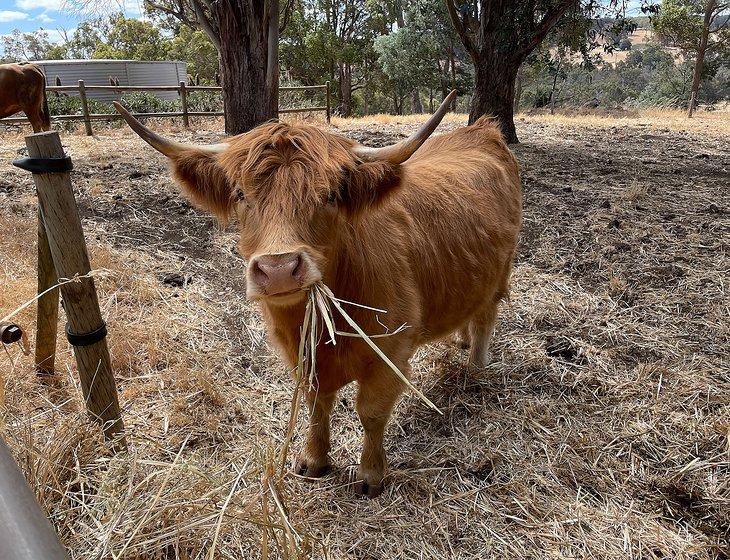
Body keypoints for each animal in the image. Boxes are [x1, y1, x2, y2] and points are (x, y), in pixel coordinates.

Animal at [114, 94, 520, 496]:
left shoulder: (392, 352)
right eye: (241, 194)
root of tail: (481, 131)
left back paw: (475, 370)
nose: (278, 268)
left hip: (500, 272)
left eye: (330, 195)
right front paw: (313, 460)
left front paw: (371, 475)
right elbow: (316, 403)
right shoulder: (300, 354)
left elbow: (371, 411)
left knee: (486, 317)